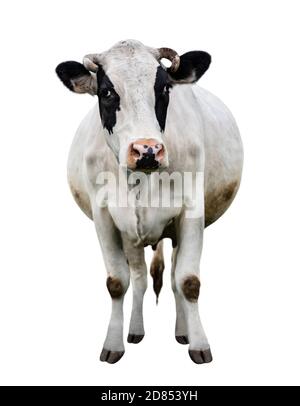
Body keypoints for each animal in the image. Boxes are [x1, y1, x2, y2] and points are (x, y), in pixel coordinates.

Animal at [56, 38, 244, 364]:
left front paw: (199, 344)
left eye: (165, 88)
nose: (147, 149)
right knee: (141, 279)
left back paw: (183, 332)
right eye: (106, 92)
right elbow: (117, 282)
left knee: (173, 278)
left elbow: (188, 282)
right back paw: (135, 330)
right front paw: (113, 345)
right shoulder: (105, 218)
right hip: (130, 235)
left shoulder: (191, 212)